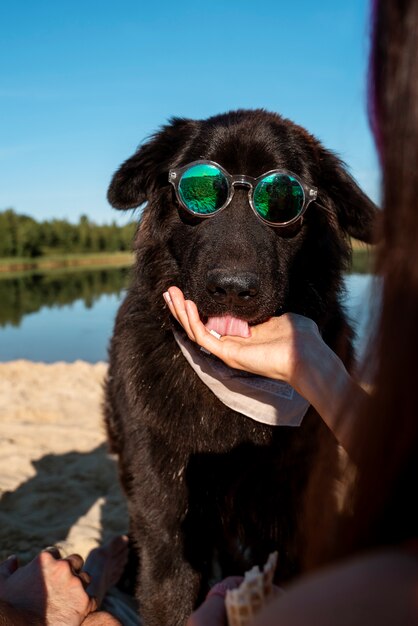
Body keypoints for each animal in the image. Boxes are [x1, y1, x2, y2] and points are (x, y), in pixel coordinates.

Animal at [103, 109, 376, 620]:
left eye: (282, 198)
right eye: (201, 190)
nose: (232, 287)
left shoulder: (293, 513)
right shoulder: (168, 518)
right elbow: (167, 592)